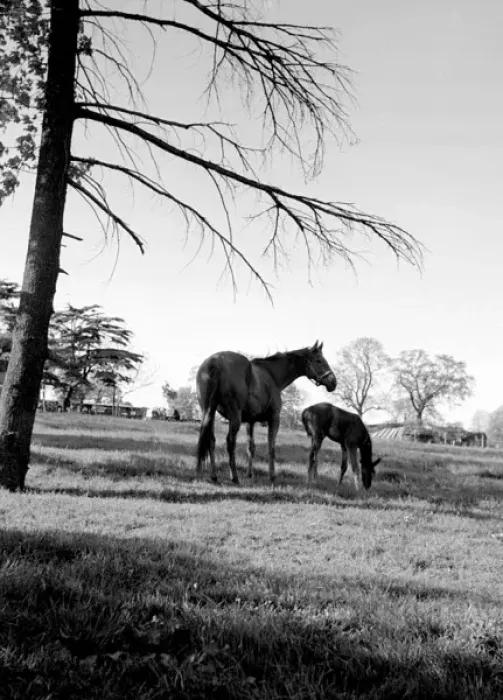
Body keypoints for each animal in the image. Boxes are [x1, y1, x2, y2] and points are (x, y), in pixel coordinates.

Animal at [196, 341, 336, 484]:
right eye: (319, 360)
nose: (333, 382)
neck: (272, 375)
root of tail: (215, 361)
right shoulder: (274, 419)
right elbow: (271, 447)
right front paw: (272, 476)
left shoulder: (250, 422)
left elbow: (251, 448)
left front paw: (250, 474)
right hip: (234, 417)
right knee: (230, 442)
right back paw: (234, 477)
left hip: (209, 412)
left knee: (210, 440)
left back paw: (212, 475)